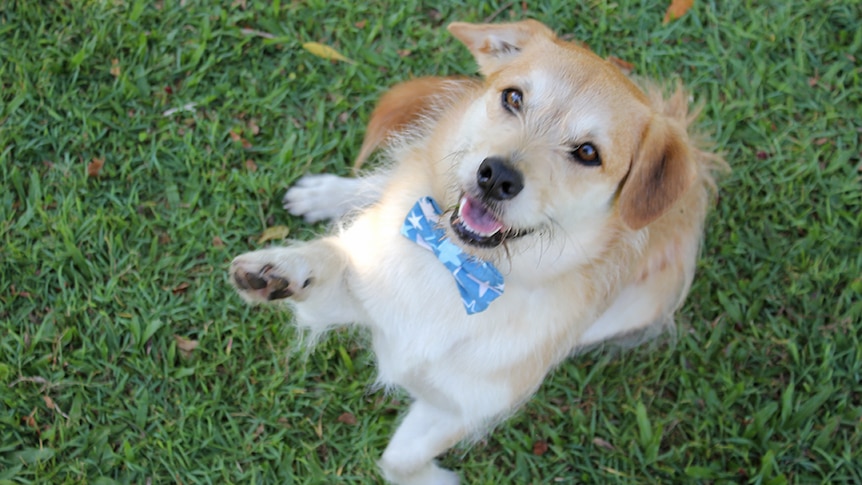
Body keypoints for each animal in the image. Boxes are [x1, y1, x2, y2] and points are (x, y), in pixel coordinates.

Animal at [231, 19, 728, 484]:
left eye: (588, 152)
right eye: (513, 98)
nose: (498, 175)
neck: (456, 267)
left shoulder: (458, 407)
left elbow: (397, 461)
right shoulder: (363, 286)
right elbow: (334, 259)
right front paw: (282, 268)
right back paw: (325, 194)